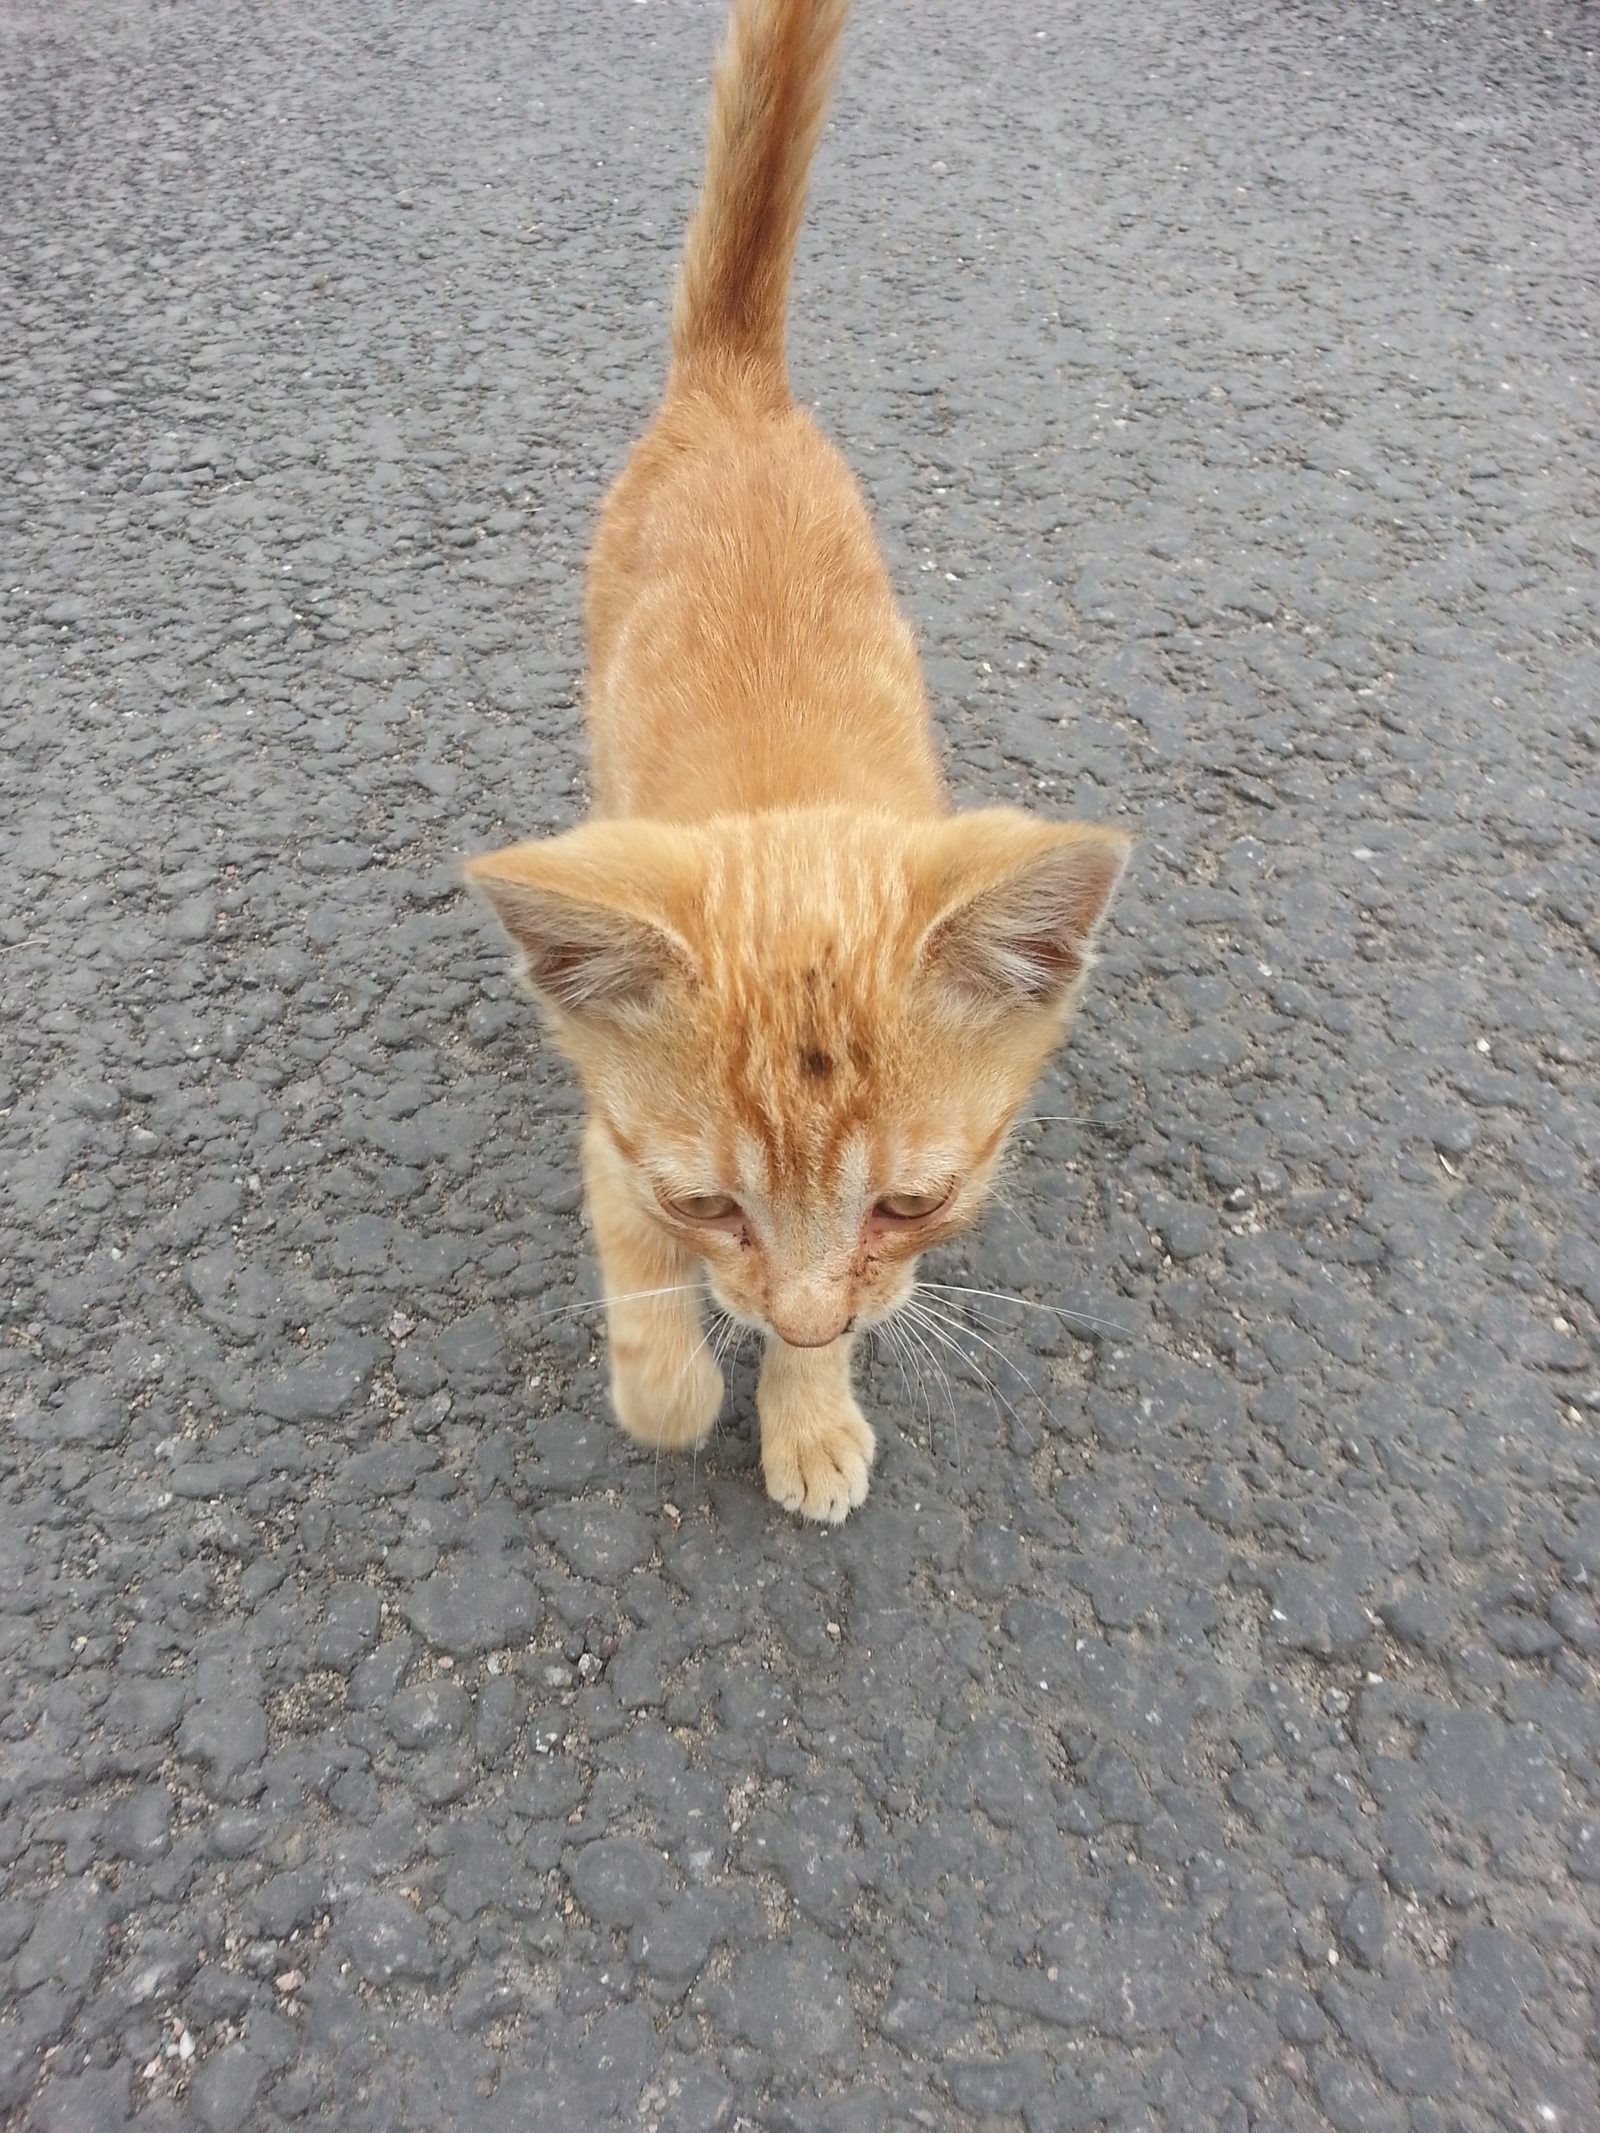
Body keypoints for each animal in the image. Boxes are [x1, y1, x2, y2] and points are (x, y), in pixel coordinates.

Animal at [469, 0, 1134, 1527]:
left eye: (912, 1203)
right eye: (710, 1202)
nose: (807, 1319)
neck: (781, 805)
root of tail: (736, 389)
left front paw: (809, 1405)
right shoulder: (611, 1146)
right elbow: (643, 1299)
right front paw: (683, 1386)